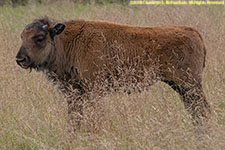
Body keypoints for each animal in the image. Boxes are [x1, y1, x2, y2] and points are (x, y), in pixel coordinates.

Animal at [15, 16, 211, 126]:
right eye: (22, 36)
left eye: (40, 37)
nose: (20, 59)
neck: (68, 41)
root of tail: (194, 32)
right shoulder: (75, 94)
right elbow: (74, 119)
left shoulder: (94, 90)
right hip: (181, 87)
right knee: (196, 111)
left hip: (190, 85)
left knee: (203, 110)